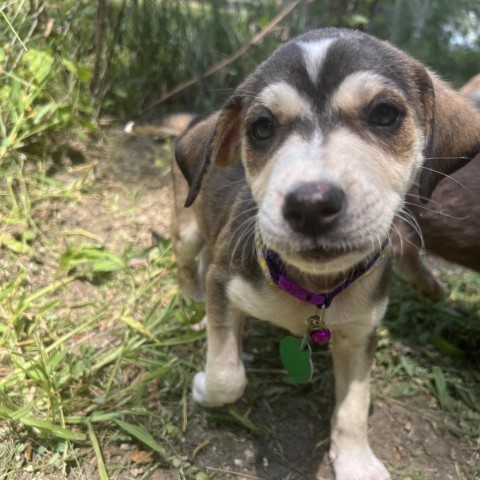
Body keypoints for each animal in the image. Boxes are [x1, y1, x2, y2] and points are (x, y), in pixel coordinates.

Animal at [170, 28, 480, 478]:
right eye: (261, 127)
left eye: (384, 114)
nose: (311, 205)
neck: (314, 289)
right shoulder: (225, 283)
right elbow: (228, 374)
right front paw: (205, 388)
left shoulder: (361, 334)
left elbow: (354, 407)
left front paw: (356, 461)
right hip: (189, 230)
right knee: (188, 263)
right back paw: (193, 305)